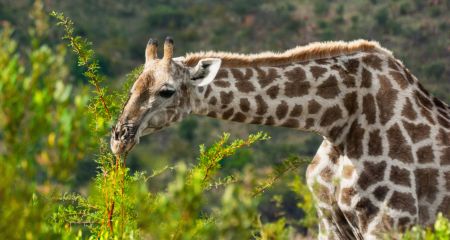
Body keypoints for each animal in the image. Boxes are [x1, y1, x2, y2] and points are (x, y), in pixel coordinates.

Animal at [110, 37, 450, 240]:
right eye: (133, 87)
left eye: (166, 91)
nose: (119, 137)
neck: (338, 121)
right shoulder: (330, 221)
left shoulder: (392, 221)